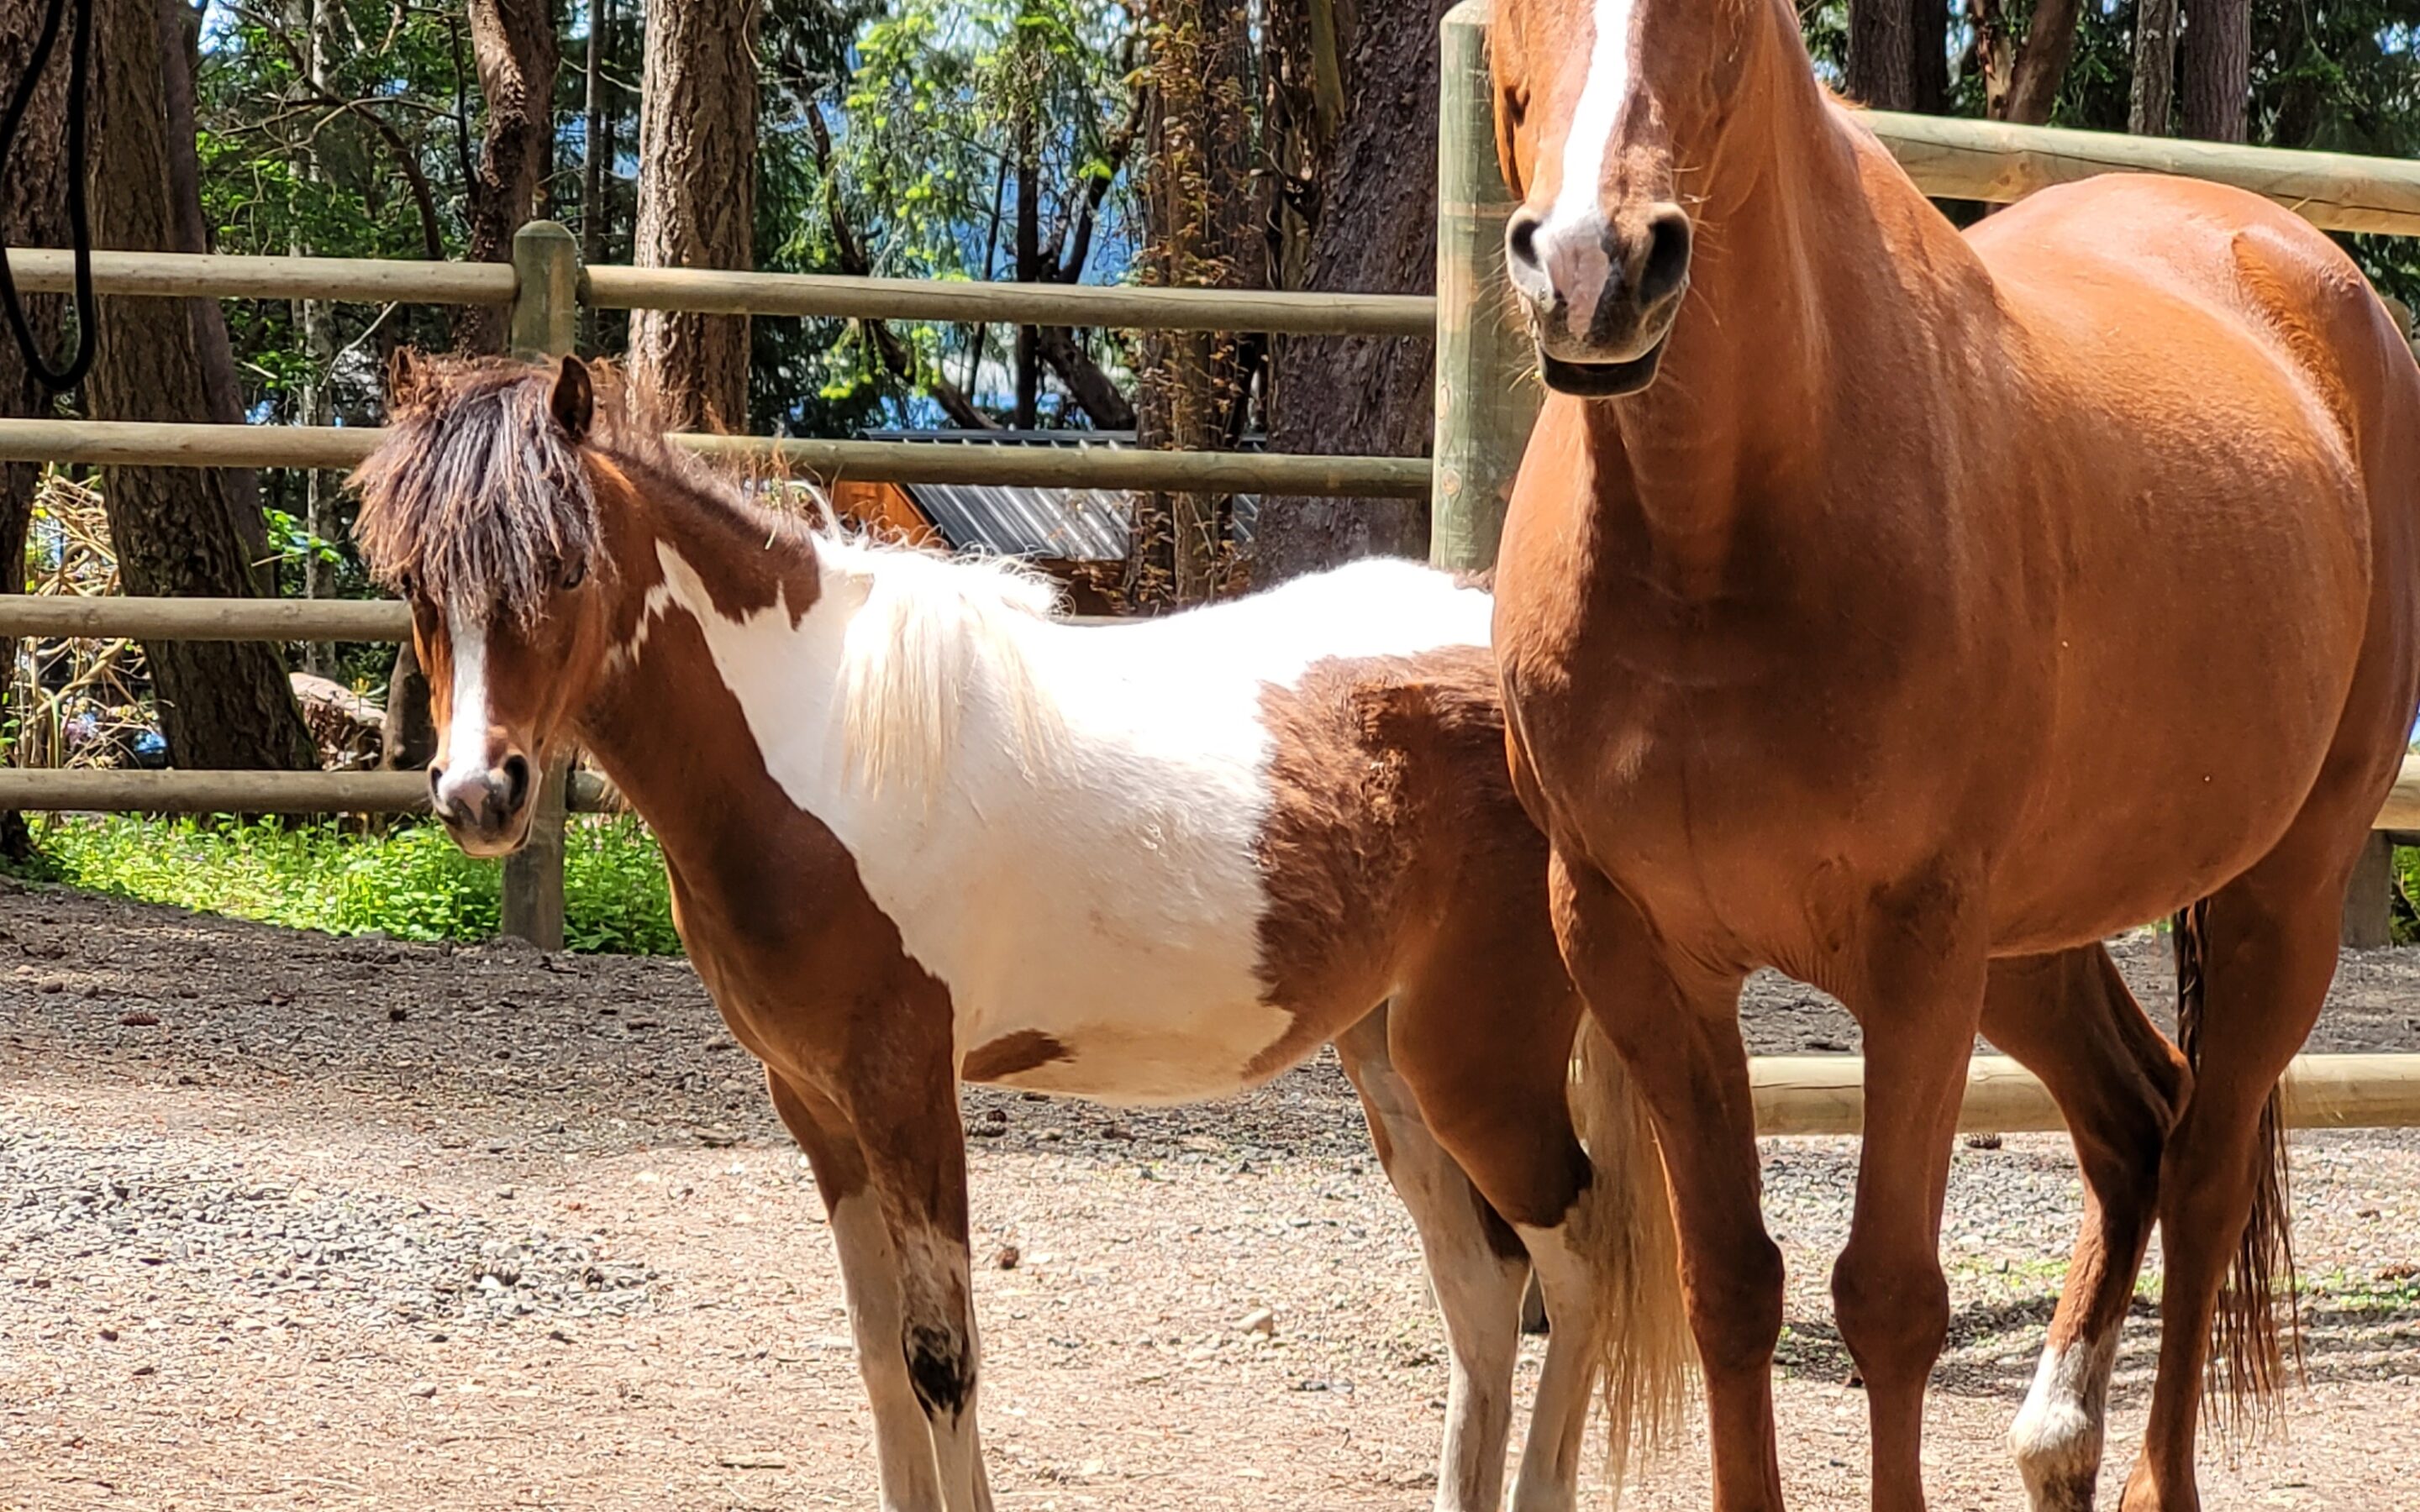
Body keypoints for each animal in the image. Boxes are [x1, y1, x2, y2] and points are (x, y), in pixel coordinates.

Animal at [350, 355, 1694, 1509]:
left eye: (568, 568)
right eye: (417, 584)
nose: (479, 794)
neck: (815, 740)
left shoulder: (906, 1087)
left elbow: (941, 1357)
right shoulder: (818, 1105)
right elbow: (878, 1354)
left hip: (1478, 1062)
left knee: (1580, 1266)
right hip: (1391, 1060)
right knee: (1483, 1287)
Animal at [1481, 3, 2410, 1509]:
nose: (1591, 266)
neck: (1714, 542)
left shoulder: (1916, 948)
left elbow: (1890, 1299)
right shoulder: (1632, 947)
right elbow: (1731, 1287)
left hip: (2285, 891)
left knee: (2206, 1166)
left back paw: (2144, 1474)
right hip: (2029, 944)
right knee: (2136, 1119)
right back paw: (2056, 1439)